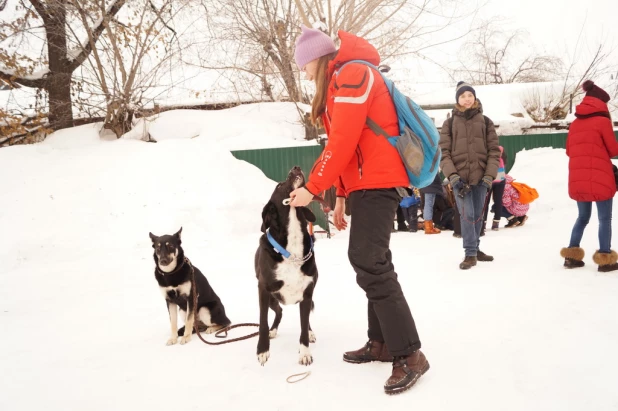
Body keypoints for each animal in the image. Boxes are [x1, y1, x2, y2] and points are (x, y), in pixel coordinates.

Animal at [253, 167, 318, 366]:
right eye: (279, 185)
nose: (296, 167)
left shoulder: (307, 293)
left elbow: (303, 326)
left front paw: (304, 353)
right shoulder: (263, 289)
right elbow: (262, 323)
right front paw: (262, 350)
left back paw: (310, 332)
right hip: (272, 299)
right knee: (279, 312)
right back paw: (273, 331)